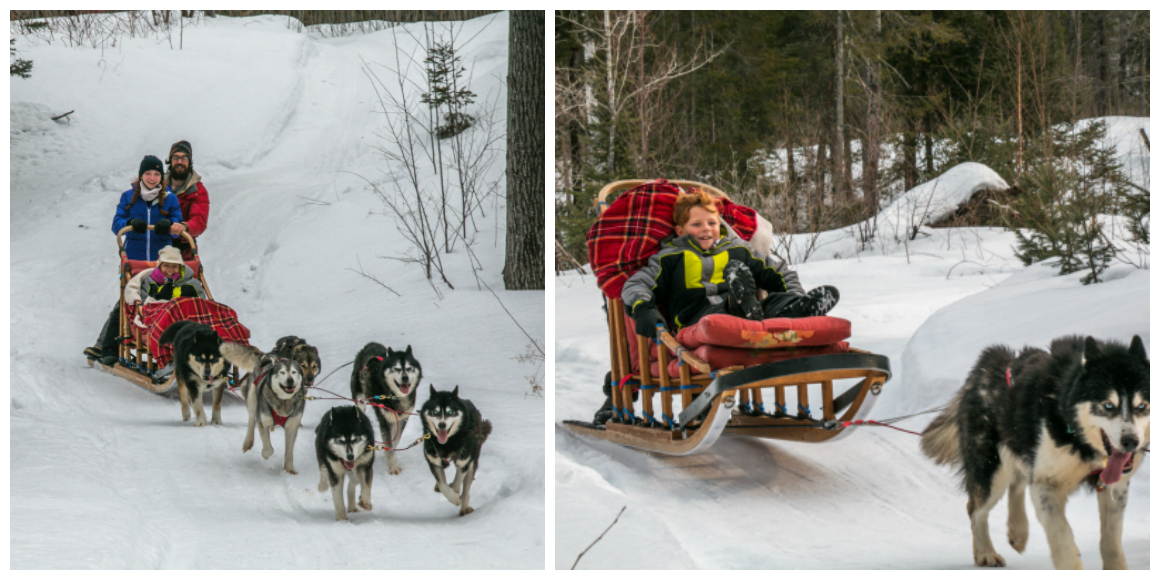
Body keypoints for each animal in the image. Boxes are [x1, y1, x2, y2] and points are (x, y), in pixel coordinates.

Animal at [221, 341, 308, 473]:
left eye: (294, 372)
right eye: (282, 372)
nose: (290, 380)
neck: (283, 401)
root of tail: (267, 356)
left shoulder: (292, 427)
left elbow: (289, 452)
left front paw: (289, 469)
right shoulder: (263, 422)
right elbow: (269, 448)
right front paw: (265, 454)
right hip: (252, 399)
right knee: (251, 421)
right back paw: (248, 442)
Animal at [352, 341, 426, 473]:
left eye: (409, 368)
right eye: (396, 368)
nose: (405, 377)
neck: (395, 396)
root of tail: (370, 344)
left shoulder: (402, 419)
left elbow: (395, 441)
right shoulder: (385, 421)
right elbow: (389, 444)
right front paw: (393, 467)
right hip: (360, 401)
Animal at [422, 385, 489, 517]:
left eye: (450, 412)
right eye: (435, 412)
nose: (442, 425)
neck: (448, 444)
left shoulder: (464, 462)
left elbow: (458, 480)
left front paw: (455, 494)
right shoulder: (433, 460)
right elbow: (442, 484)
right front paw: (452, 496)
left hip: (472, 460)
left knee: (466, 488)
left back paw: (464, 507)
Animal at [923, 334, 1150, 568]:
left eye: (1142, 406)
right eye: (1108, 405)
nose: (1131, 442)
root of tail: (988, 364)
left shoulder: (1114, 488)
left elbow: (1111, 540)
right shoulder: (1047, 485)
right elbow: (1062, 536)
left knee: (1016, 484)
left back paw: (1017, 531)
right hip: (992, 470)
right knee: (976, 509)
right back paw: (986, 552)